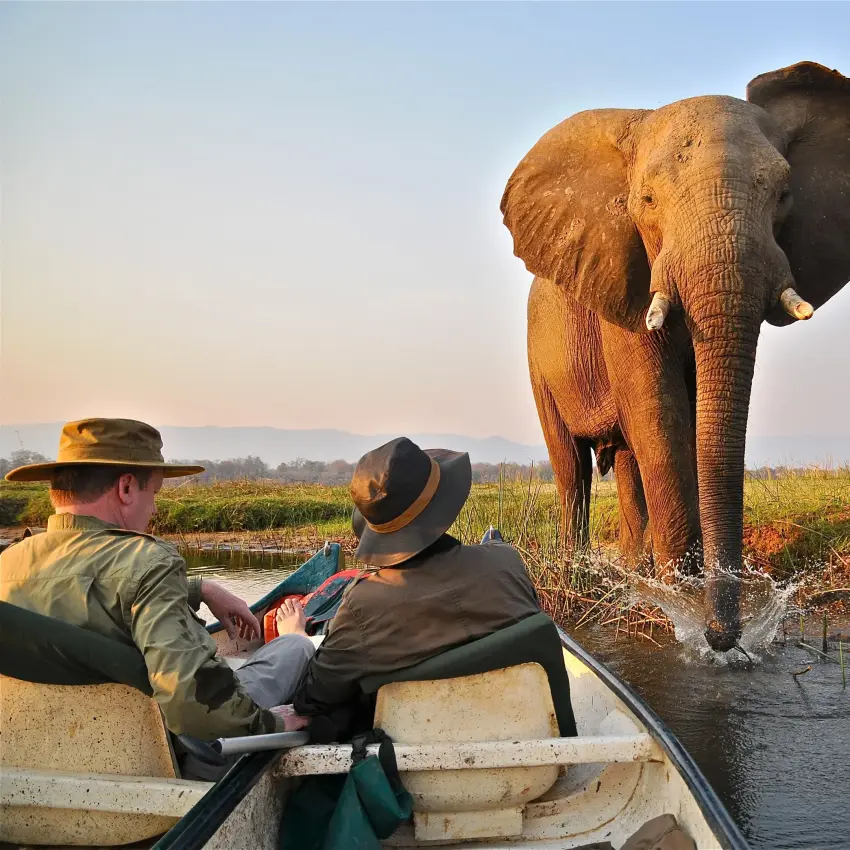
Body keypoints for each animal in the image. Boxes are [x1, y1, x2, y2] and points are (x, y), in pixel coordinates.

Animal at [500, 61, 850, 652]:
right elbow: (659, 414)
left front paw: (674, 595)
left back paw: (633, 573)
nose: (721, 636)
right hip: (535, 358)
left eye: (784, 194)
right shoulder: (626, 281)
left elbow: (683, 425)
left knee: (624, 459)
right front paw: (678, 602)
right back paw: (583, 575)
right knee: (571, 467)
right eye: (645, 200)